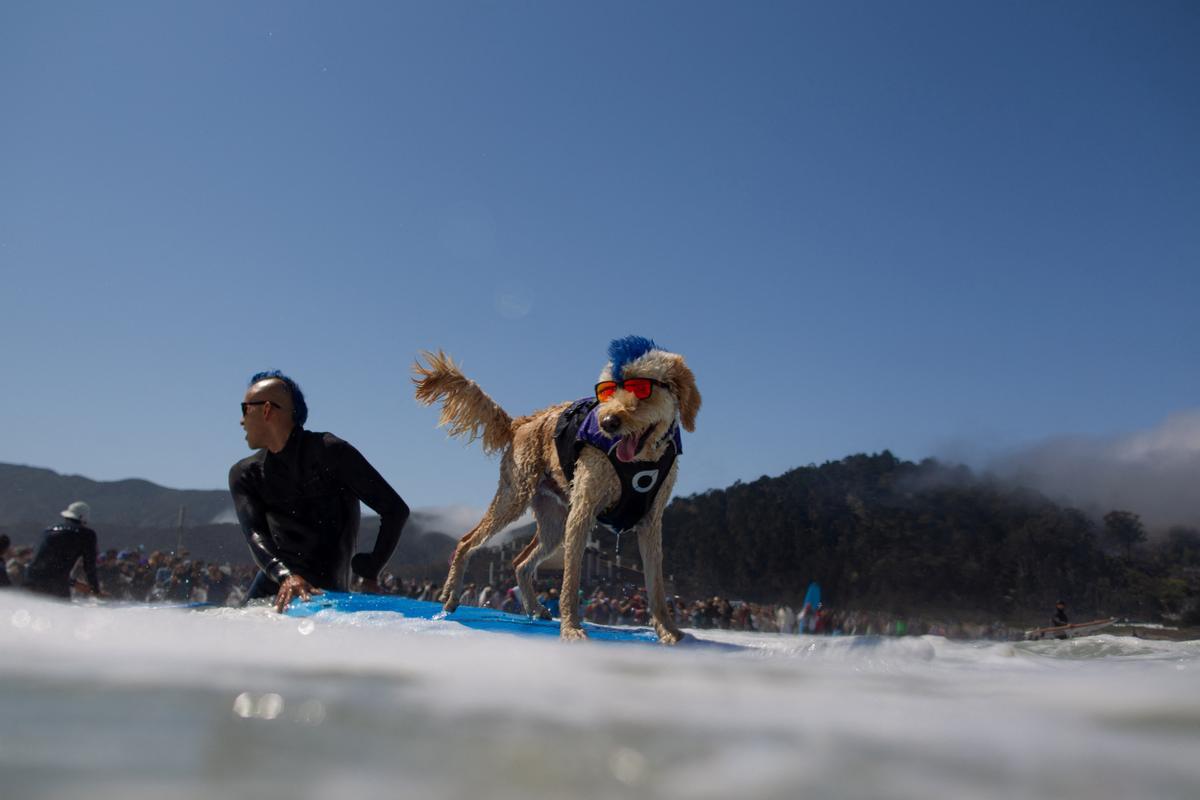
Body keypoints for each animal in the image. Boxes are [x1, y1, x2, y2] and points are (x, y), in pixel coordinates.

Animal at [412, 338, 700, 642]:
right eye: (607, 391)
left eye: (641, 388)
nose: (607, 422)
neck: (640, 462)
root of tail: (520, 423)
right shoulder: (583, 512)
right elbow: (570, 581)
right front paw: (571, 627)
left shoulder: (650, 523)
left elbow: (656, 587)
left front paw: (668, 631)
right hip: (513, 500)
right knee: (467, 542)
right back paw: (451, 595)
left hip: (553, 525)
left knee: (520, 562)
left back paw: (534, 607)